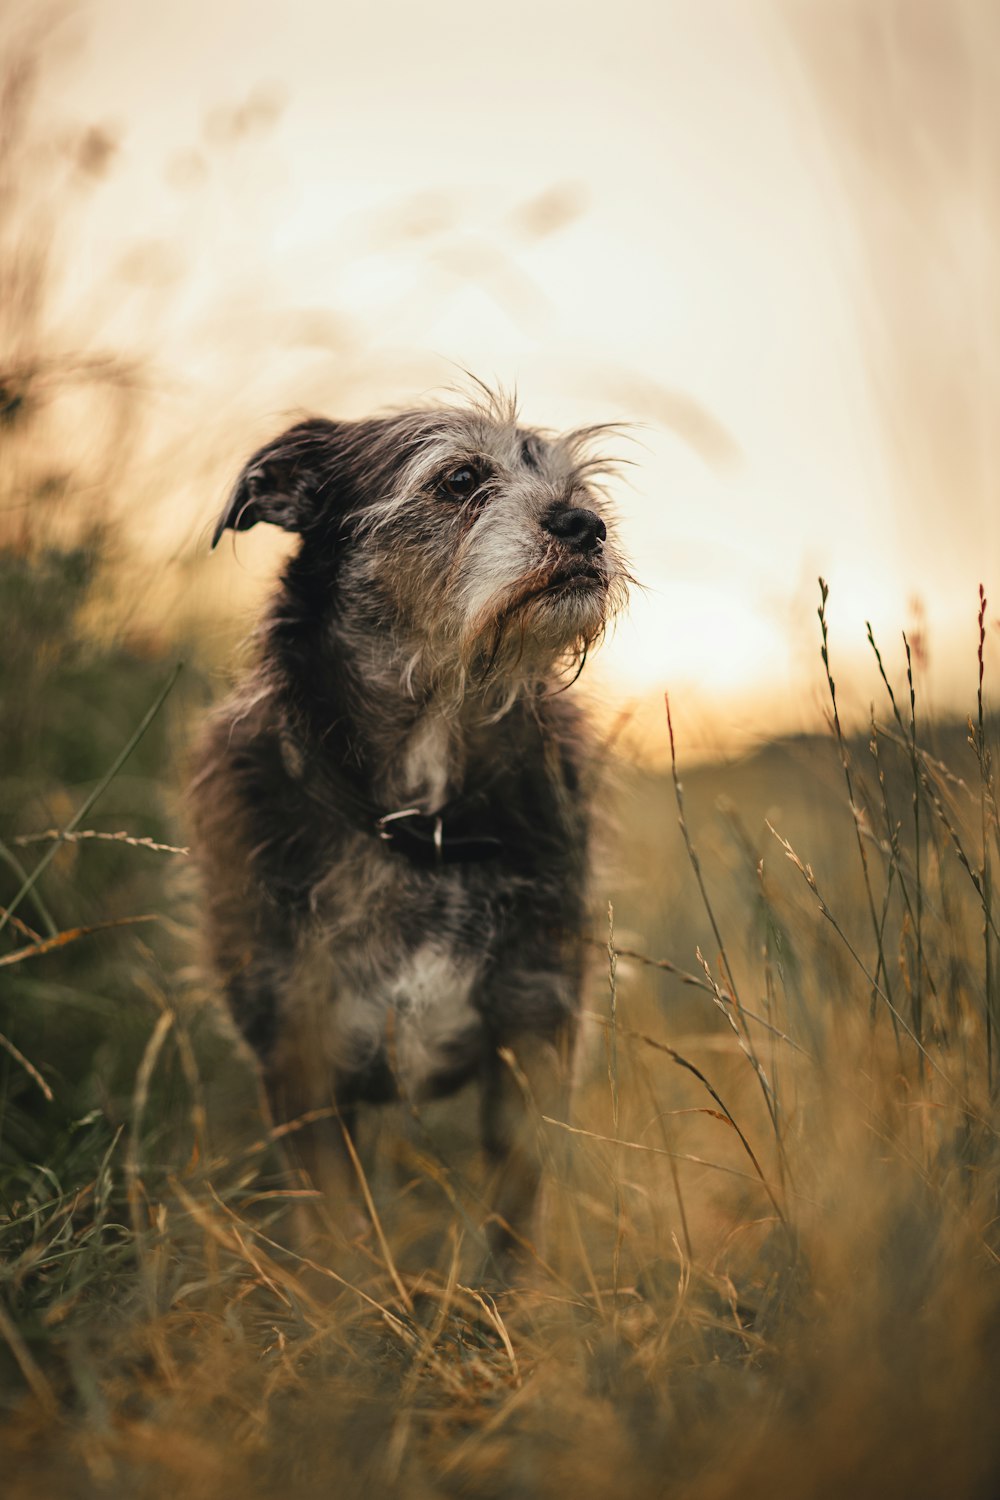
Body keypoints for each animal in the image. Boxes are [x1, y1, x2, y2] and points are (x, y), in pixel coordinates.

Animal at [191, 381, 629, 1260]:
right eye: (459, 479)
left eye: (573, 481)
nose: (586, 525)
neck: (423, 819)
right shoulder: (301, 1059)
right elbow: (336, 1237)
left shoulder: (535, 1032)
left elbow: (513, 1229)